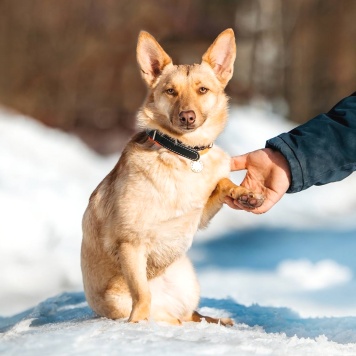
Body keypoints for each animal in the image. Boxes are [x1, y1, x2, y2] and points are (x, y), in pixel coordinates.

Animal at [81, 29, 264, 326]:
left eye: (203, 90)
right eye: (170, 91)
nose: (187, 116)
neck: (183, 153)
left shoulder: (200, 216)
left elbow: (222, 184)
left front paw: (242, 193)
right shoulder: (130, 244)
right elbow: (141, 294)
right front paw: (136, 326)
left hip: (188, 279)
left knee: (191, 315)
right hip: (117, 299)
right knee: (163, 312)